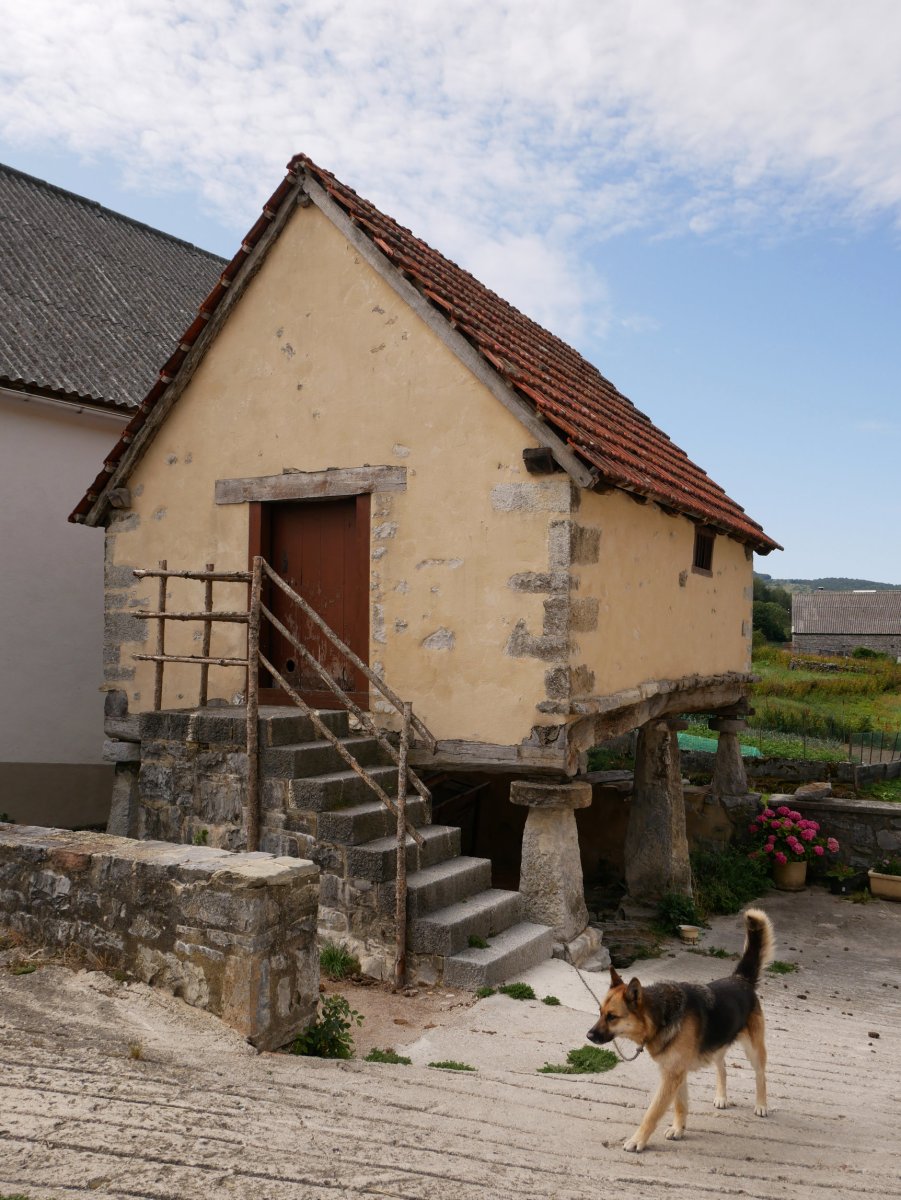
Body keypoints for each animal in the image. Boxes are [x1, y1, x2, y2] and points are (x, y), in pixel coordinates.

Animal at [585, 907, 777, 1152]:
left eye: (612, 1017)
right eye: (600, 1012)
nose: (589, 1035)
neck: (661, 1017)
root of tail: (740, 979)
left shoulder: (671, 1076)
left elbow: (653, 1113)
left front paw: (638, 1140)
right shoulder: (675, 1072)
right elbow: (680, 1104)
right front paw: (678, 1129)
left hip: (754, 1050)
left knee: (760, 1075)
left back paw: (761, 1105)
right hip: (717, 1045)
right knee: (722, 1068)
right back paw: (722, 1097)